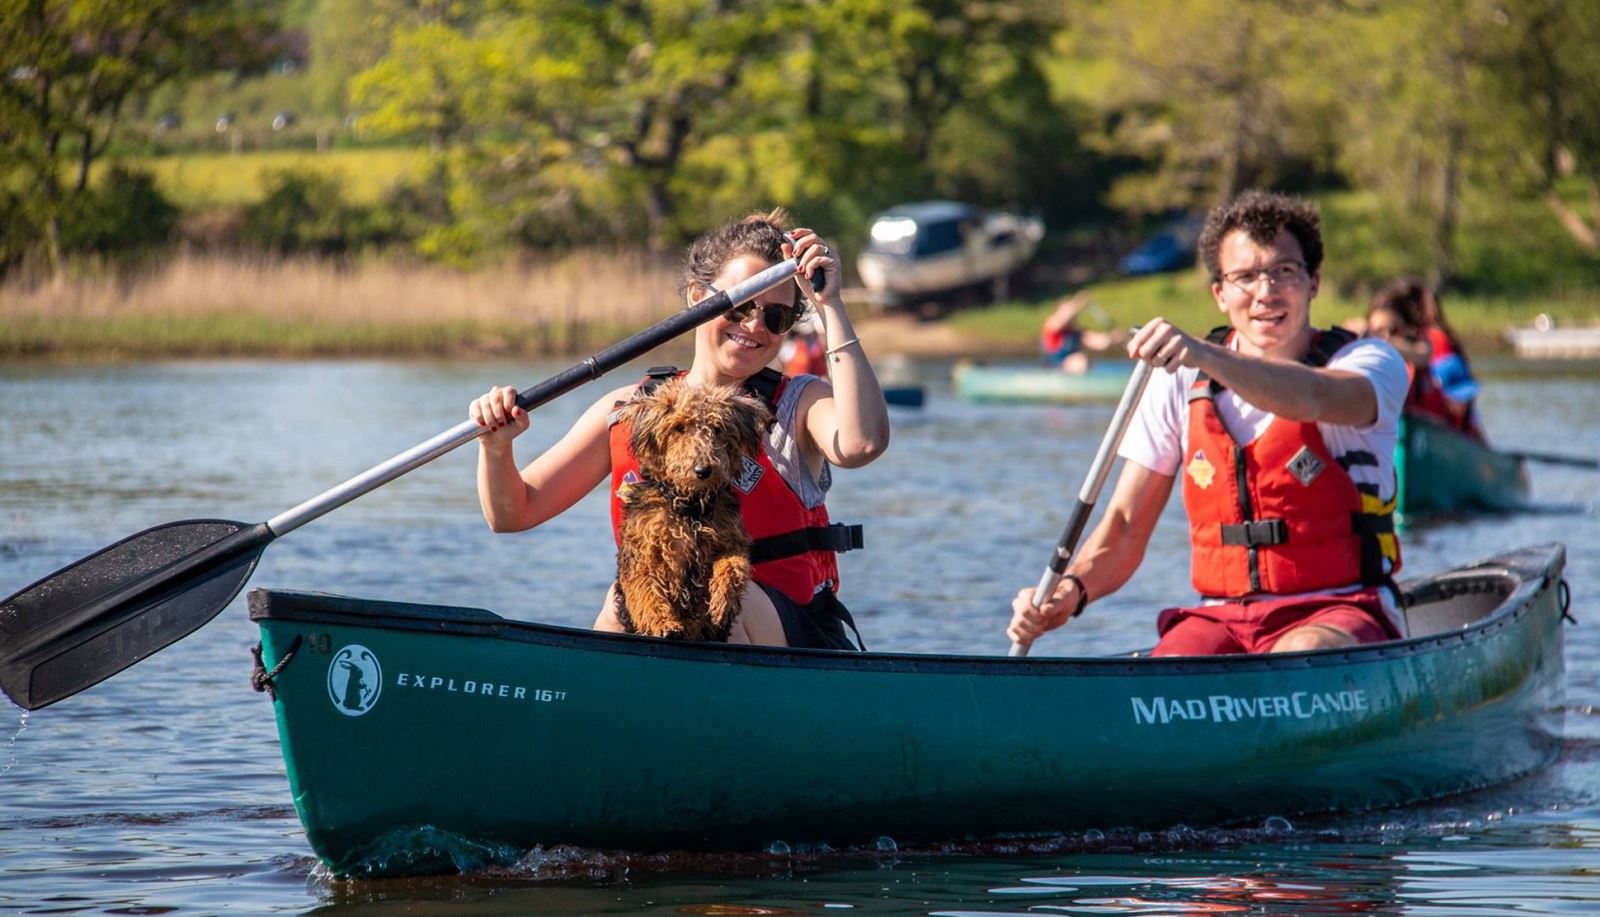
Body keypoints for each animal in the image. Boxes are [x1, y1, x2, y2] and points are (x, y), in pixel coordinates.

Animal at [611, 376, 774, 640]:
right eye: (679, 427)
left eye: (718, 428)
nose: (703, 470)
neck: (690, 510)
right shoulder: (642, 556)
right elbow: (647, 592)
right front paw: (664, 624)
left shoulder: (732, 542)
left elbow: (732, 567)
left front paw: (722, 602)